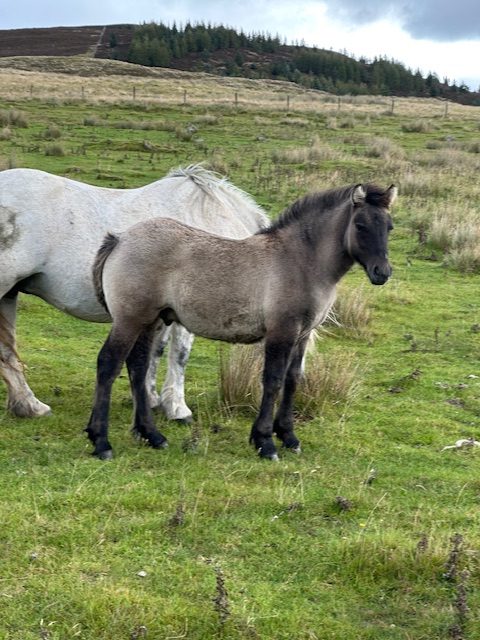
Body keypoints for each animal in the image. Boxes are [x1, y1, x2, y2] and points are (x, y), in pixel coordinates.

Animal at [0, 165, 268, 421]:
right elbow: (180, 355)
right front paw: (177, 409)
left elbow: (155, 351)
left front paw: (150, 399)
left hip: (8, 295)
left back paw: (30, 407)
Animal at [87, 182, 396, 460]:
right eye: (360, 225)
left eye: (389, 227)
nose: (382, 272)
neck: (299, 261)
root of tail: (120, 239)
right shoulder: (281, 332)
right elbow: (272, 380)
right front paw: (265, 442)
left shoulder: (302, 334)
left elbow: (293, 379)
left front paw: (289, 437)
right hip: (129, 320)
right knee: (109, 364)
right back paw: (101, 442)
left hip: (150, 321)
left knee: (137, 367)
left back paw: (152, 435)